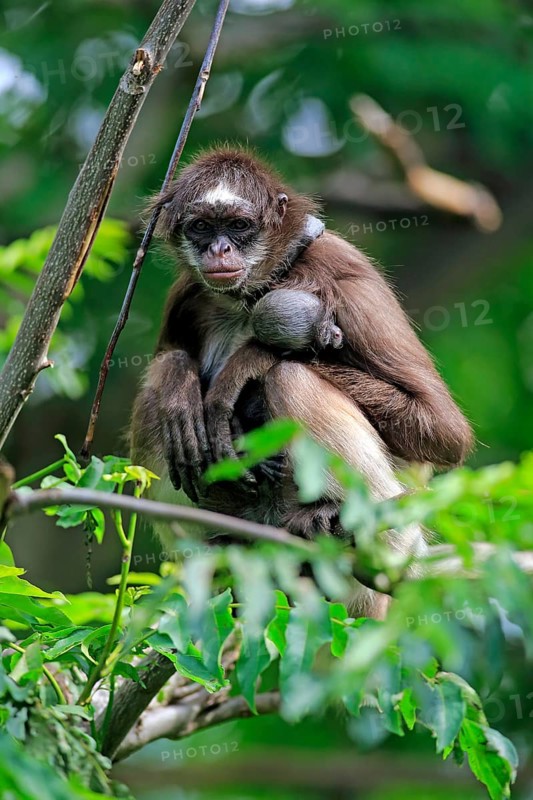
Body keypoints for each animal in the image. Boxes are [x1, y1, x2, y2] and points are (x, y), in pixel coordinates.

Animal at [130, 146, 473, 618]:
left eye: (239, 226)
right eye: (201, 227)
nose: (219, 249)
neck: (250, 295)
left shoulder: (342, 271)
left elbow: (444, 433)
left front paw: (251, 359)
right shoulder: (188, 292)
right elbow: (168, 362)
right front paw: (179, 383)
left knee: (290, 376)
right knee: (153, 407)